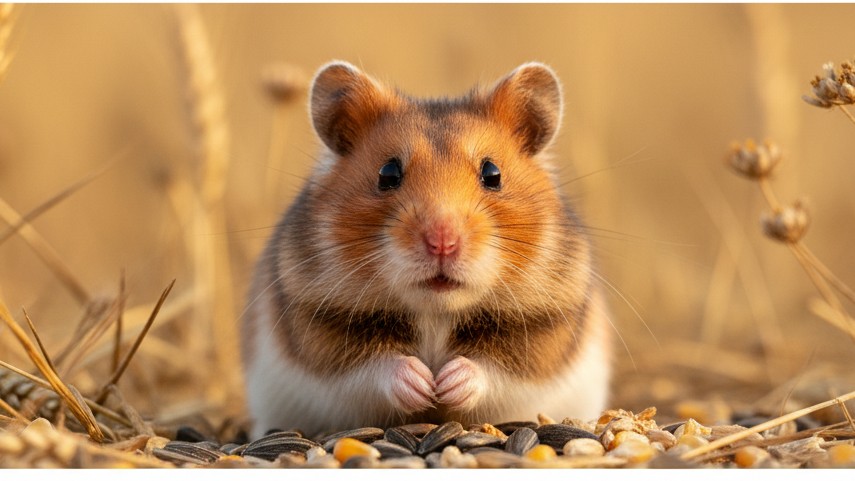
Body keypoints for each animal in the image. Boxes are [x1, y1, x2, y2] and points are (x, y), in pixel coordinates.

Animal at [241, 61, 612, 439]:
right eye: (387, 173)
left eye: (492, 173)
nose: (442, 243)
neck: (436, 309)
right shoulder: (320, 333)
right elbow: (373, 367)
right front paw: (423, 385)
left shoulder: (543, 336)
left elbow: (493, 369)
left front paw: (446, 385)